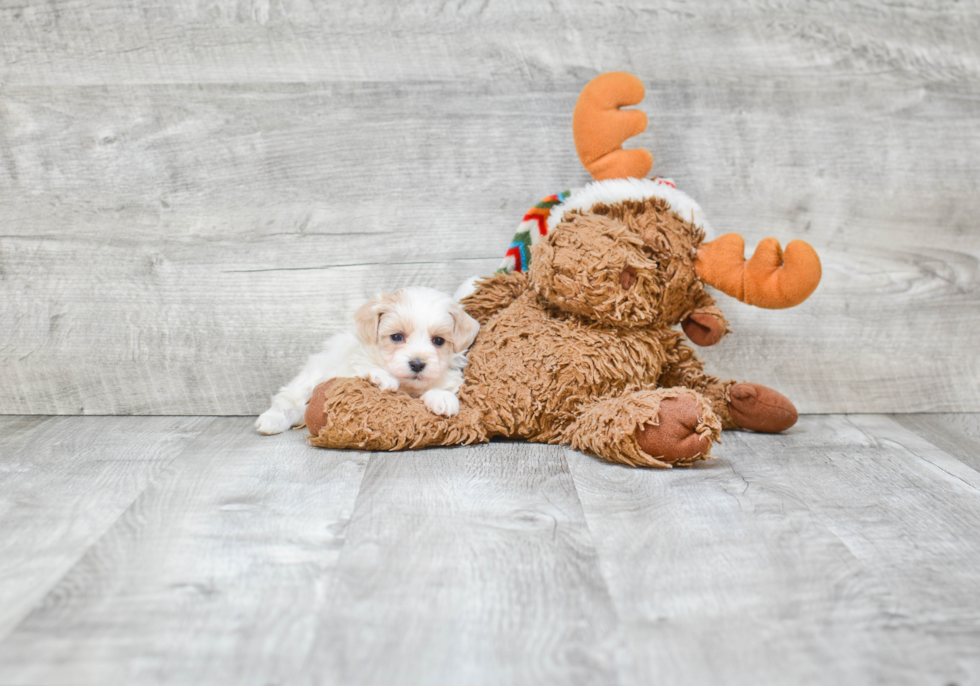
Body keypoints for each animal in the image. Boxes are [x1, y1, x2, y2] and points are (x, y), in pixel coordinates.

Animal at [255, 288, 480, 438]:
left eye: (438, 341)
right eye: (397, 337)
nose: (417, 364)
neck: (408, 387)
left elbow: (443, 388)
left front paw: (442, 398)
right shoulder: (349, 368)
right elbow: (364, 371)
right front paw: (382, 378)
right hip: (311, 377)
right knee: (288, 400)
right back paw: (270, 421)